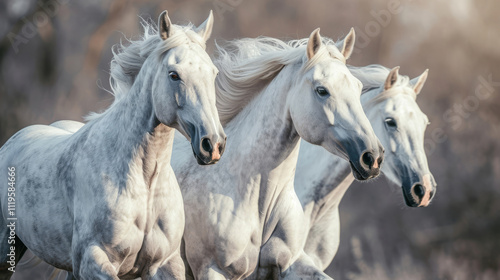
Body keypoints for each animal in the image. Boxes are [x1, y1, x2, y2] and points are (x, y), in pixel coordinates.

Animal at [0, 9, 225, 278]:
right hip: (7, 250)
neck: (145, 184)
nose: (213, 144)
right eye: (174, 75)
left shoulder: (165, 263)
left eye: (213, 73)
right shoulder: (94, 260)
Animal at [171, 29, 382, 278]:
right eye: (322, 90)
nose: (372, 157)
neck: (259, 204)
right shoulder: (211, 268)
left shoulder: (291, 262)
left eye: (358, 88)